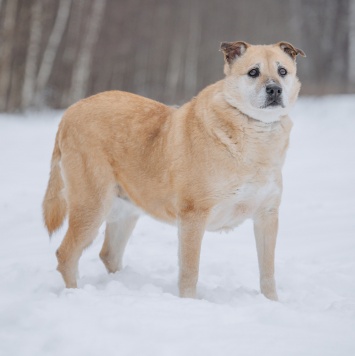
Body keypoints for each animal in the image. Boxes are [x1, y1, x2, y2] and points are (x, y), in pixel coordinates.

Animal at [42, 40, 306, 298]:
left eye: (282, 71)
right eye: (253, 72)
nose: (274, 90)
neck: (254, 132)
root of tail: (70, 111)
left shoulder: (267, 215)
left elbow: (267, 272)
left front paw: (272, 302)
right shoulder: (193, 216)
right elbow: (190, 271)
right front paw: (189, 303)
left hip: (125, 210)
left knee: (108, 254)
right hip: (92, 205)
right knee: (66, 255)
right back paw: (75, 294)